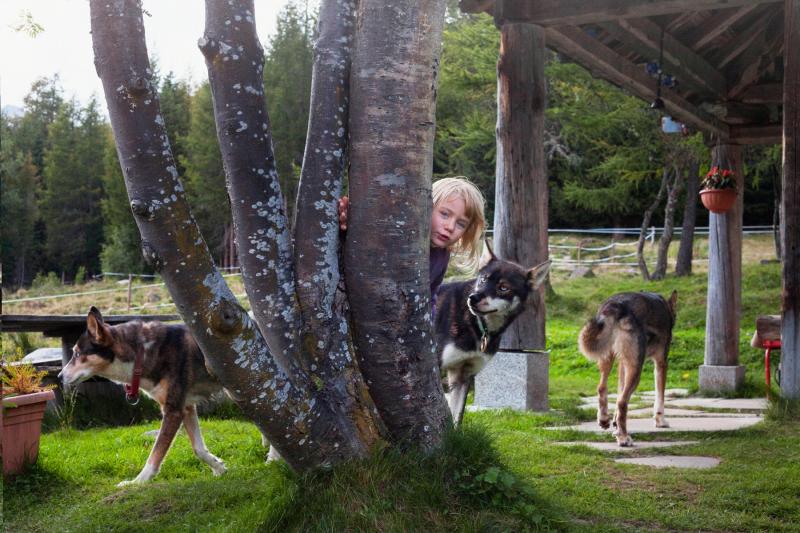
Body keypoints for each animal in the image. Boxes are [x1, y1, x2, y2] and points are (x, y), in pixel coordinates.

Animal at [432, 247, 552, 426]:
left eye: (503, 287)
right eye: (483, 280)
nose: (473, 298)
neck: (478, 326)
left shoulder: (463, 376)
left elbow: (456, 419)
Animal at [580, 290, 680, 444]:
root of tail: (617, 305)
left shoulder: (622, 365)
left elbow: (619, 392)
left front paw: (615, 424)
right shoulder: (661, 363)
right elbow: (659, 398)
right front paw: (660, 421)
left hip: (607, 359)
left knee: (602, 388)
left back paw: (604, 420)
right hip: (636, 370)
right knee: (622, 402)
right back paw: (623, 438)